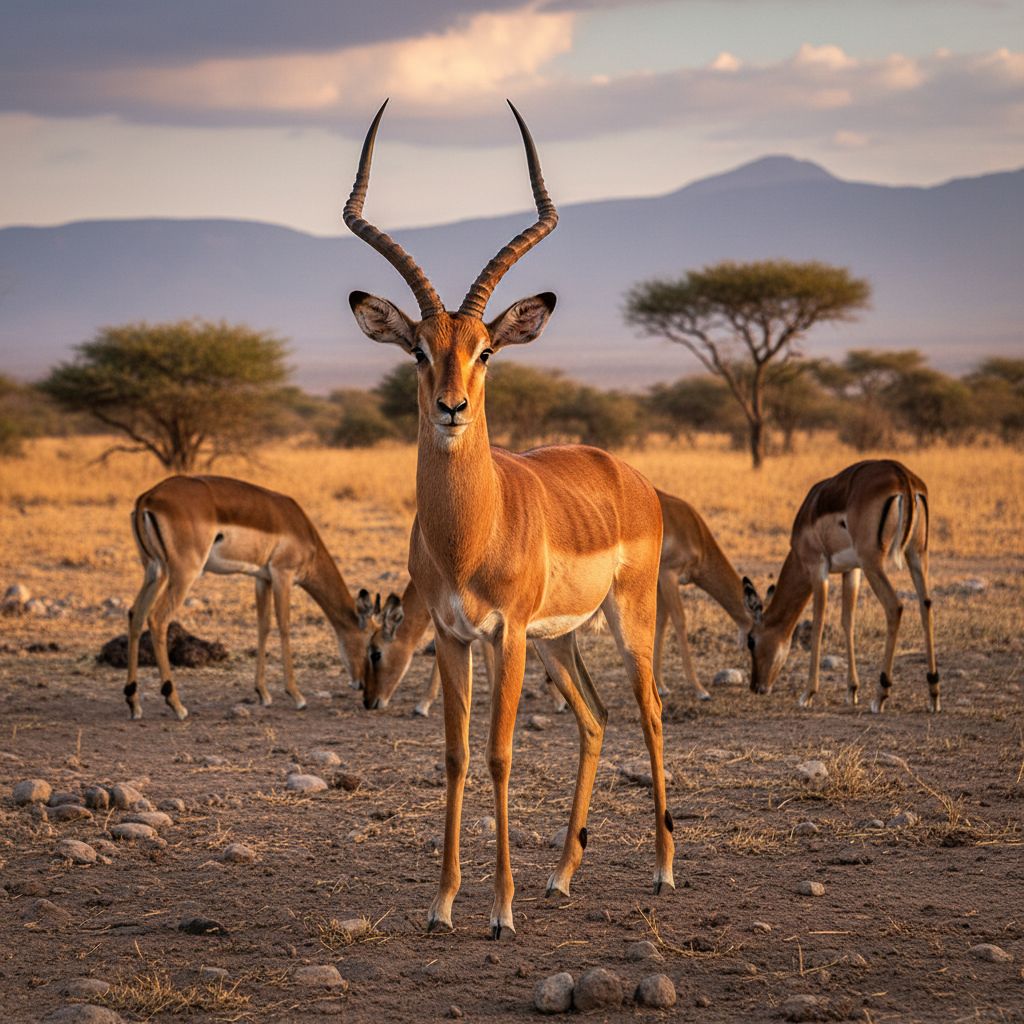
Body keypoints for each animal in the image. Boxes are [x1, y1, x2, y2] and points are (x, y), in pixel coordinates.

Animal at [125, 475, 374, 720]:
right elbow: (284, 626)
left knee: (135, 614)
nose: (361, 684)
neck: (301, 528)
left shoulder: (262, 578)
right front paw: (297, 696)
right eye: (370, 644)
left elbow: (263, 626)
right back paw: (177, 705)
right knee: (157, 618)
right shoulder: (282, 575)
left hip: (153, 570)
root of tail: (148, 496)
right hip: (183, 573)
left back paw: (134, 703)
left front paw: (263, 693)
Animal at [344, 100, 673, 938]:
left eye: (487, 350)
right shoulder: (456, 636)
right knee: (595, 719)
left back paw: (662, 869)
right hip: (561, 642)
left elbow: (499, 755)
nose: (453, 407)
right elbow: (457, 755)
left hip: (624, 620)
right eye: (418, 349)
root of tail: (625, 474)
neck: (470, 534)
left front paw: (499, 910)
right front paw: (442, 904)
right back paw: (560, 877)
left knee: (651, 711)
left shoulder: (507, 635)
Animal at [742, 459, 938, 713]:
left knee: (895, 606)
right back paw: (934, 694)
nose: (756, 686)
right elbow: (848, 621)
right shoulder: (851, 571)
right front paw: (852, 690)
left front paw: (808, 693)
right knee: (926, 606)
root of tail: (902, 475)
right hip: (916, 555)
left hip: (873, 562)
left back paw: (880, 696)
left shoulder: (818, 567)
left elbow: (818, 624)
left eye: (751, 640)